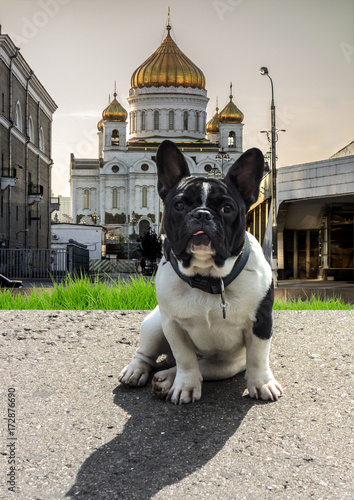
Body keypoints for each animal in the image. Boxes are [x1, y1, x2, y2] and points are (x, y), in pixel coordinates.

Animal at [118, 139, 282, 404]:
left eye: (227, 208)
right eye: (179, 205)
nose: (203, 214)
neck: (208, 276)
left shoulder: (261, 322)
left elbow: (258, 357)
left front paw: (262, 383)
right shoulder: (172, 325)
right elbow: (185, 358)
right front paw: (185, 386)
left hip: (227, 365)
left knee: (202, 367)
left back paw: (165, 379)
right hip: (155, 324)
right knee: (149, 354)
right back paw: (137, 371)